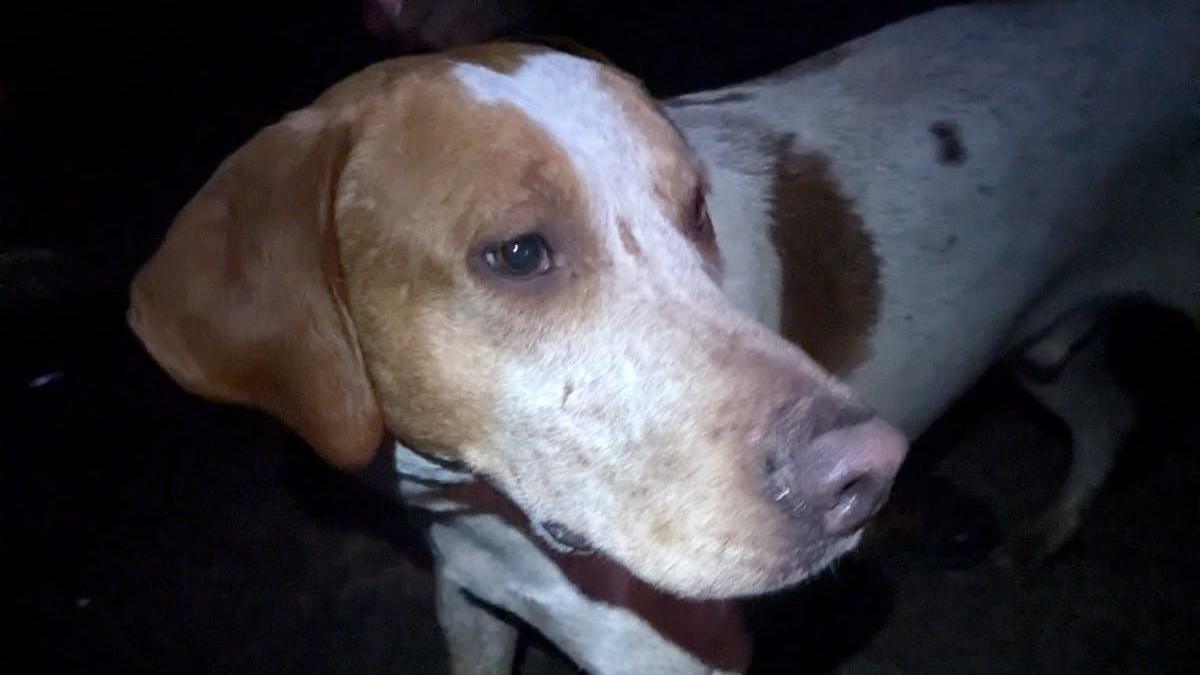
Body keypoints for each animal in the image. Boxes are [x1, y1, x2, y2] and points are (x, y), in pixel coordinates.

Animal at [126, 0, 1195, 667]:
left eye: (695, 211)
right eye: (519, 252)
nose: (869, 473)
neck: (489, 514)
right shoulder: (471, 606)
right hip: (1044, 346)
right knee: (1109, 412)